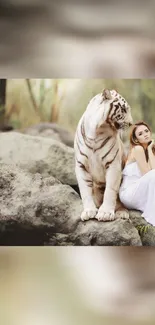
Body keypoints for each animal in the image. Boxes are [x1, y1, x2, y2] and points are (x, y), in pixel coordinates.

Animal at [74, 88, 133, 220]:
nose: (131, 123)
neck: (97, 131)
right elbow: (85, 191)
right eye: (124, 109)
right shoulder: (81, 165)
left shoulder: (113, 164)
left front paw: (105, 213)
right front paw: (89, 211)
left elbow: (110, 190)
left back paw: (122, 213)